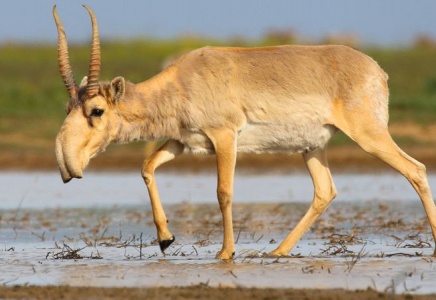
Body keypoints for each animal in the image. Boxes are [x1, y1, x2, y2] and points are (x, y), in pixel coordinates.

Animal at [53, 4, 436, 258]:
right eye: (68, 108)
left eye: (96, 110)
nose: (67, 166)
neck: (183, 80)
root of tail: (377, 70)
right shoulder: (182, 142)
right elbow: (146, 167)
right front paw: (165, 239)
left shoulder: (224, 137)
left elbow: (224, 192)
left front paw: (225, 253)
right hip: (312, 148)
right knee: (325, 191)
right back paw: (277, 252)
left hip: (370, 136)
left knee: (415, 169)